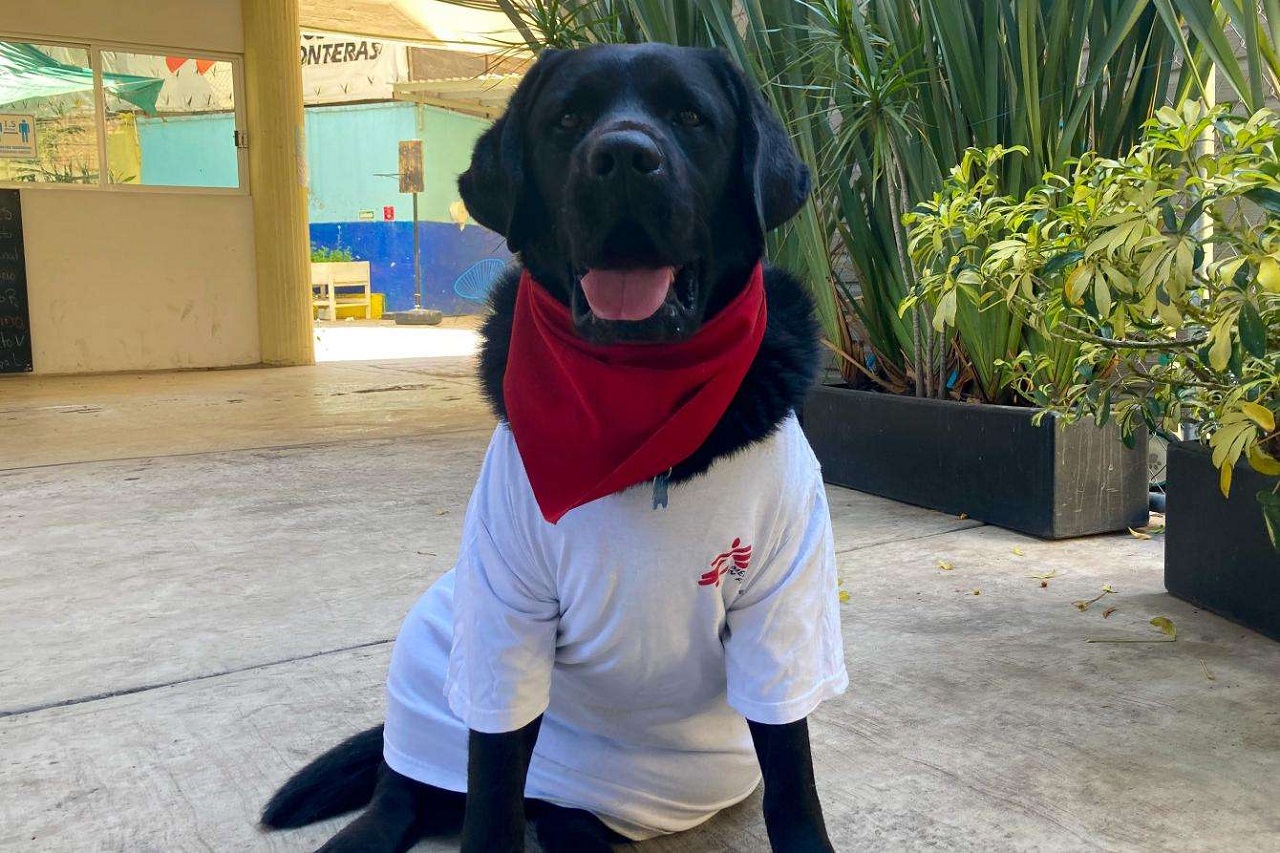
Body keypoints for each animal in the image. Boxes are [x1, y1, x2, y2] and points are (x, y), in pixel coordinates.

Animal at [261, 43, 839, 845]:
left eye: (691, 116)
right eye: (567, 119)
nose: (623, 158)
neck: (639, 402)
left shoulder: (785, 603)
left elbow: (792, 775)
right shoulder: (504, 612)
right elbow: (494, 777)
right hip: (430, 654)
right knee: (399, 791)